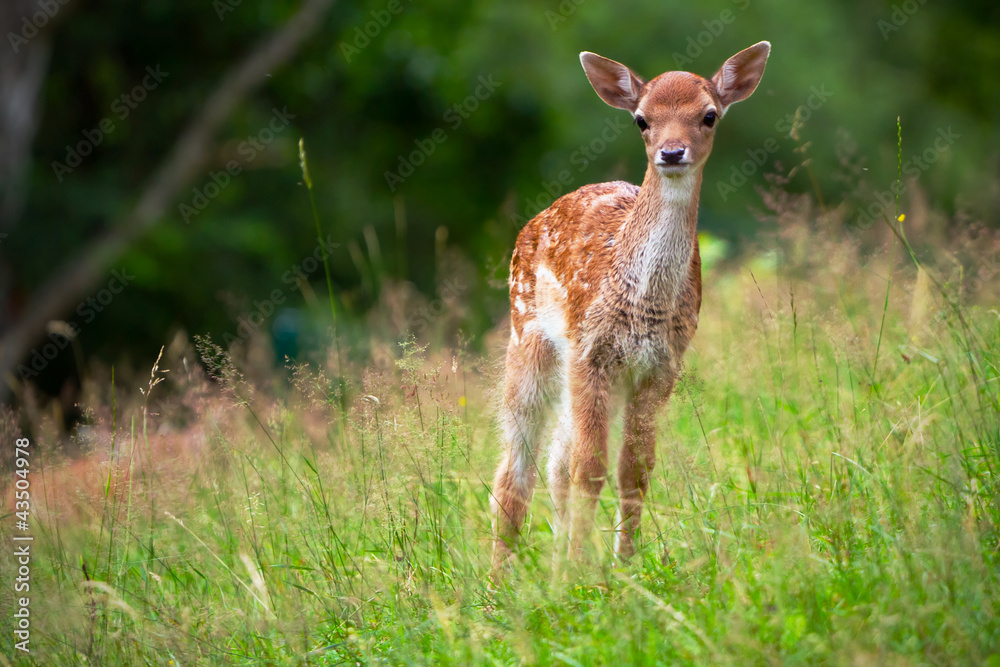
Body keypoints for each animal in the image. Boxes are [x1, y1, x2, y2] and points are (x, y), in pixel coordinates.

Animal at [488, 43, 768, 576]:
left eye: (709, 115)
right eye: (642, 119)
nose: (672, 152)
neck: (643, 305)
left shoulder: (660, 366)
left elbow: (633, 471)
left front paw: (623, 566)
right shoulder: (590, 351)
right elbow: (590, 470)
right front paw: (583, 572)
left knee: (555, 462)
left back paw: (552, 563)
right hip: (528, 336)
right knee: (517, 468)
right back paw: (499, 580)